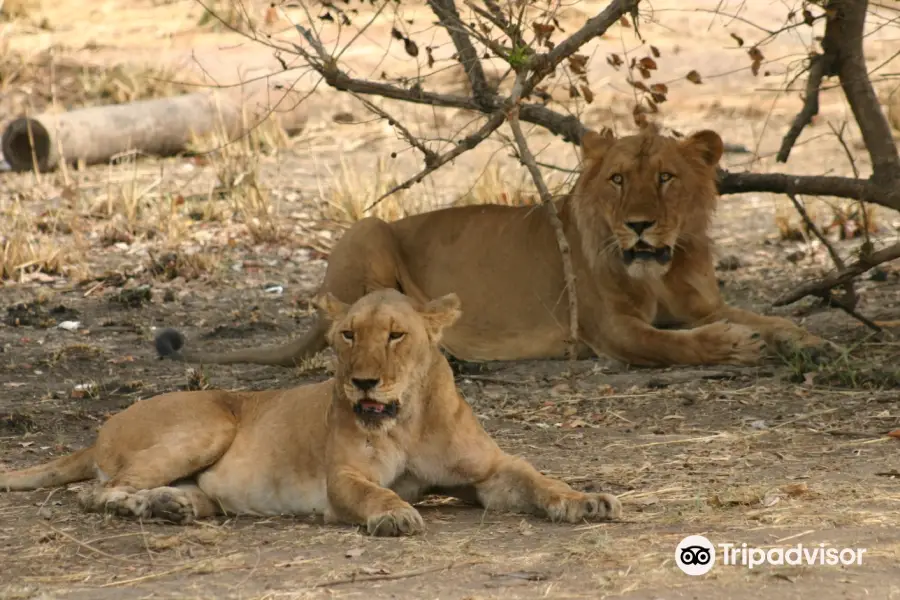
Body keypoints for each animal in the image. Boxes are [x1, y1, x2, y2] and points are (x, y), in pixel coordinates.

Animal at [0, 290, 624, 536]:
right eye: (347, 335)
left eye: (395, 335)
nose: (362, 381)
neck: (406, 418)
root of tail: (102, 427)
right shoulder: (341, 477)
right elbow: (374, 492)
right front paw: (396, 515)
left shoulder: (488, 473)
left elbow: (538, 479)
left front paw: (588, 500)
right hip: (210, 422)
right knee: (98, 492)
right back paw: (153, 507)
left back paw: (178, 505)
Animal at [155, 127, 828, 370]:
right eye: (617, 179)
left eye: (665, 177)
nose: (639, 226)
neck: (659, 267)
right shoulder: (610, 331)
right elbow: (675, 344)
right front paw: (738, 346)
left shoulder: (701, 304)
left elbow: (766, 316)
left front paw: (806, 338)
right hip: (367, 228)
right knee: (348, 332)